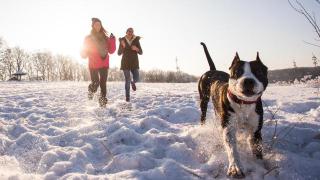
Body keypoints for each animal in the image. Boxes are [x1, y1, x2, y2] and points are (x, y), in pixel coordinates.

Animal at [199, 42, 268, 179]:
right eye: (238, 72)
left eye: (258, 72)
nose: (248, 80)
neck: (244, 104)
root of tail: (213, 70)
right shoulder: (229, 127)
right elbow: (232, 149)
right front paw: (235, 168)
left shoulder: (255, 130)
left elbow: (257, 148)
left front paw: (259, 165)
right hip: (203, 100)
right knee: (203, 115)